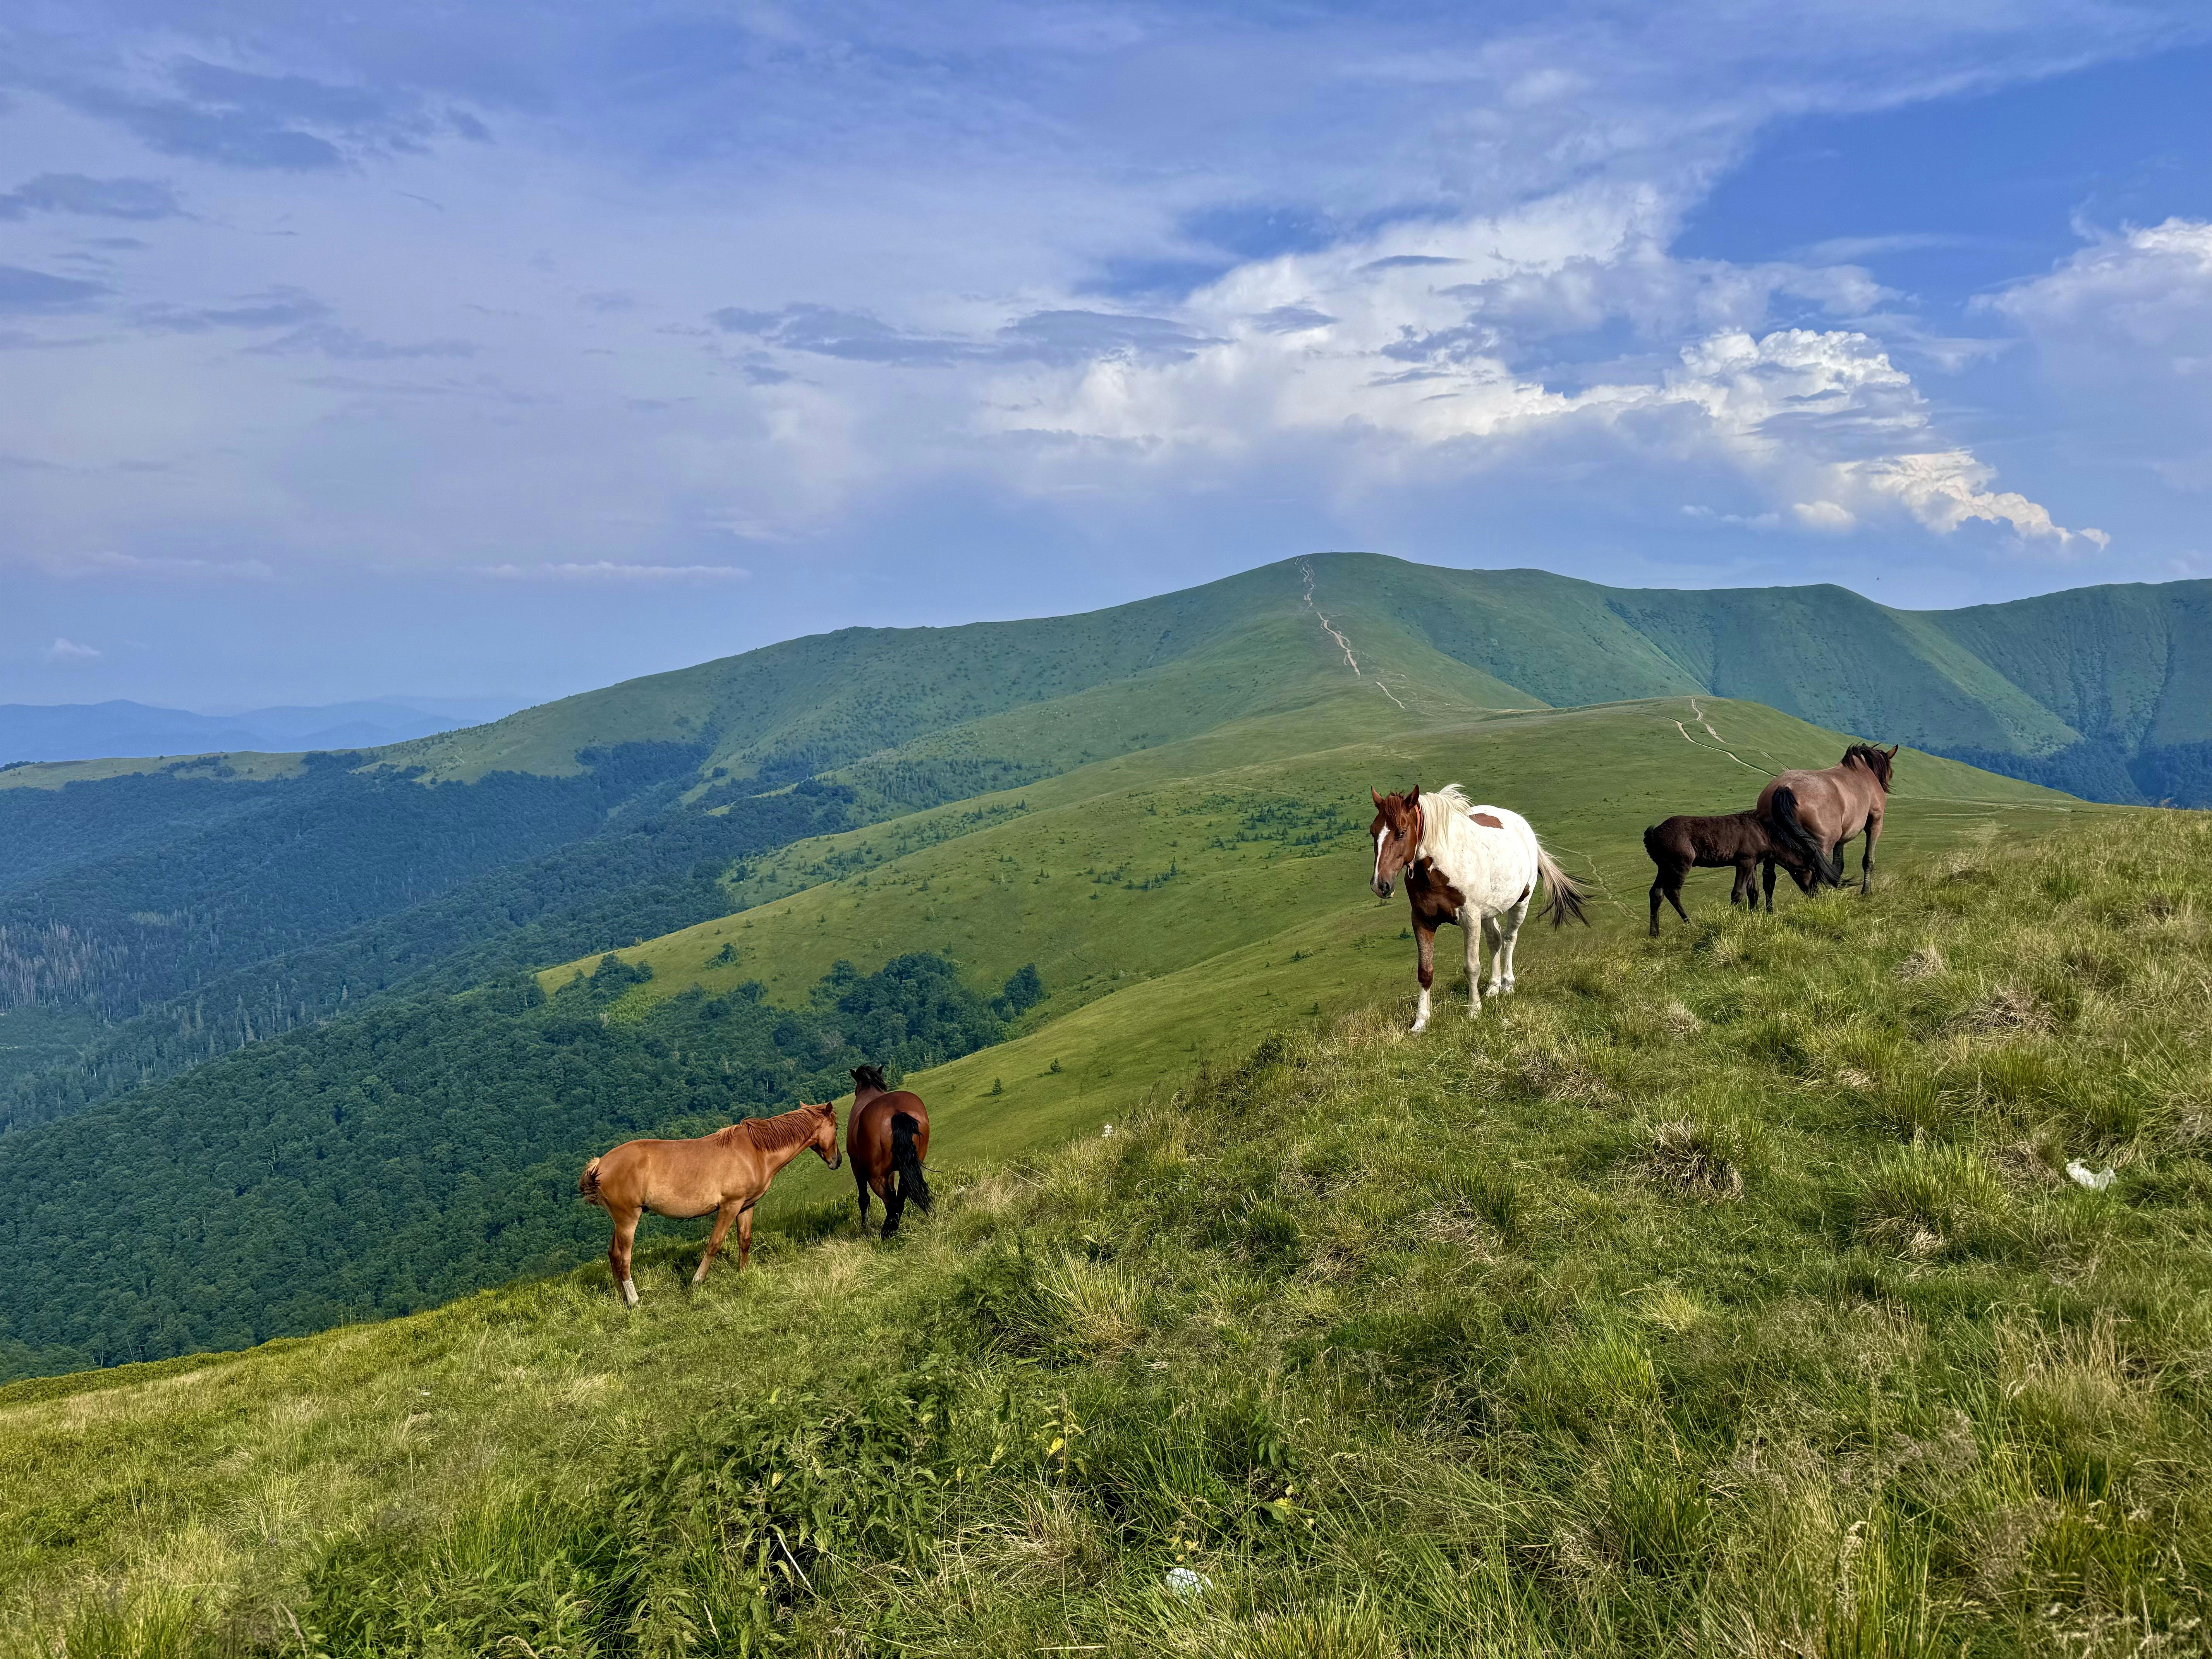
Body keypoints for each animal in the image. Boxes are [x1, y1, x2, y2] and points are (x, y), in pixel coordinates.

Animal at [578, 1100, 840, 1305]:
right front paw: (698, 1281)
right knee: (624, 1258)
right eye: (837, 1127)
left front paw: (743, 1274)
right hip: (628, 1219)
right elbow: (715, 1244)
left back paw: (620, 1297)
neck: (755, 1152)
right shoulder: (730, 1206)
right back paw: (634, 1301)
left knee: (613, 1254)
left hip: (620, 1221)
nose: (837, 1161)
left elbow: (744, 1241)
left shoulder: (746, 1206)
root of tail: (601, 1165)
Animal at [845, 1062, 932, 1238]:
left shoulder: (856, 1165)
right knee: (901, 1195)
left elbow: (864, 1199)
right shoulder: (891, 1172)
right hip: (907, 1168)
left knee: (890, 1202)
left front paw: (866, 1228)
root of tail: (897, 1113)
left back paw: (887, 1231)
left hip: (875, 1176)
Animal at [1368, 783, 1588, 1032]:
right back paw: (1493, 988)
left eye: (1402, 833)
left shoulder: (1470, 918)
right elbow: (1425, 972)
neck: (1441, 867)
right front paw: (1420, 1023)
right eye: (1373, 832)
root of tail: (1524, 826)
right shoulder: (1422, 921)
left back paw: (1507, 985)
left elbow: (1472, 966)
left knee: (1510, 939)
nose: (1380, 885)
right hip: (1488, 912)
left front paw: (1474, 1011)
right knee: (1496, 939)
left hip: (1521, 902)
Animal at [1643, 810, 1821, 935]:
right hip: (1679, 865)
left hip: (1664, 867)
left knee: (1656, 893)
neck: (1764, 834)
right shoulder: (1744, 861)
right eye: (1813, 873)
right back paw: (1690, 924)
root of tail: (1653, 836)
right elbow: (1738, 893)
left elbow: (1753, 891)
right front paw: (1729, 920)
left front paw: (1753, 916)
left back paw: (1655, 933)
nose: (1815, 895)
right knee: (1672, 892)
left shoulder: (1753, 862)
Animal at [1758, 744, 1896, 893]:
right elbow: (1868, 860)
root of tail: (1784, 788)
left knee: (1769, 878)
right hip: (1822, 844)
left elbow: (1838, 866)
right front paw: (1866, 892)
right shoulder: (1875, 823)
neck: (1863, 771)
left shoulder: (1842, 838)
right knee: (1814, 872)